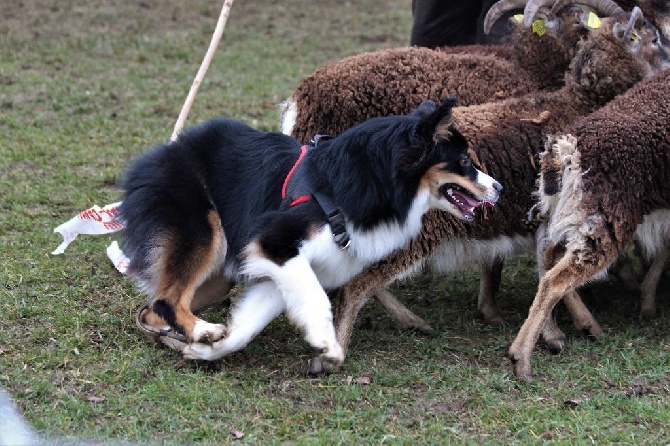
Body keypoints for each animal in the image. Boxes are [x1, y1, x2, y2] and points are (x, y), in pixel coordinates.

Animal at [119, 99, 498, 368]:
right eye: (465, 161)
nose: (500, 188)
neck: (374, 180)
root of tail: (156, 156)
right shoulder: (274, 241)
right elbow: (317, 300)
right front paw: (327, 343)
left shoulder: (281, 268)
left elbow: (248, 325)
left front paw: (209, 352)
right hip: (205, 234)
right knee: (166, 300)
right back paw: (201, 329)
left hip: (217, 276)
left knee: (150, 309)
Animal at [510, 68, 670, 378]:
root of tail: (568, 152)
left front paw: (647, 301)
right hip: (604, 221)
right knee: (555, 279)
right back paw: (520, 359)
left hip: (566, 214)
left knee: (548, 259)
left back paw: (582, 326)